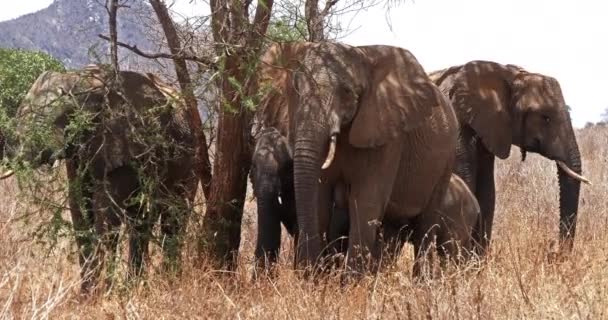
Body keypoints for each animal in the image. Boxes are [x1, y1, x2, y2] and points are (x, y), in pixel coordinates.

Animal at [0, 66, 195, 294]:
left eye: (63, 116)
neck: (83, 80)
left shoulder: (124, 141)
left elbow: (106, 211)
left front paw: (103, 294)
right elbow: (79, 207)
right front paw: (87, 295)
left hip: (189, 159)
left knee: (173, 218)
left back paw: (168, 283)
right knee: (141, 222)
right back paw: (135, 287)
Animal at [258, 41, 458, 274]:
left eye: (346, 92)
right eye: (297, 90)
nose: (307, 269)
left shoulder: (387, 135)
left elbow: (366, 200)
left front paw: (349, 282)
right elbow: (320, 195)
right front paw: (318, 279)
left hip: (446, 161)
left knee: (425, 227)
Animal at [430, 60, 592, 255]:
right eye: (545, 118)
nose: (554, 252)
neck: (510, 75)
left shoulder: (491, 128)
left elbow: (487, 192)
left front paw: (478, 262)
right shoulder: (456, 123)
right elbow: (467, 182)